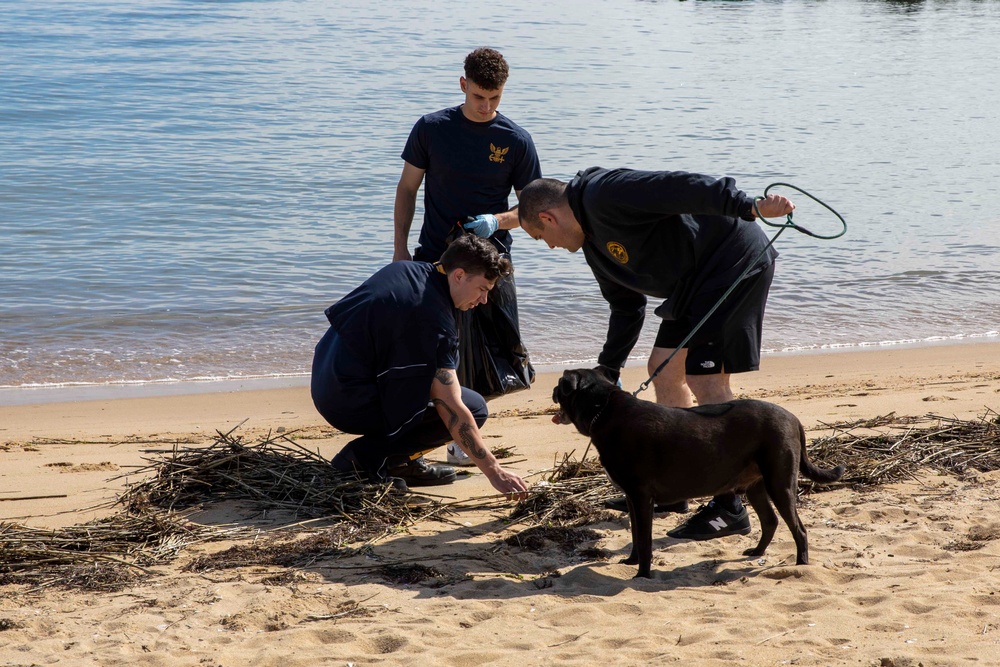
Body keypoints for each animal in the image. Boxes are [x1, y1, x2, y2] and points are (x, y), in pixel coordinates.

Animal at [556, 370, 844, 580]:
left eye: (560, 384)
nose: (553, 390)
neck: (604, 410)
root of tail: (794, 419)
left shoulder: (641, 497)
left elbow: (645, 540)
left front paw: (642, 575)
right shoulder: (631, 497)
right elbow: (636, 536)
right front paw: (631, 561)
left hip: (779, 482)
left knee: (799, 529)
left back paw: (801, 564)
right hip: (756, 484)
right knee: (770, 521)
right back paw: (757, 551)